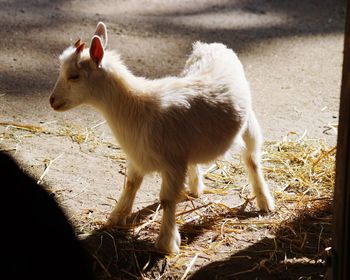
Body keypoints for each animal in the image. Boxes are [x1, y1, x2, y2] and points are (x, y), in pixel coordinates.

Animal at [50, 21, 274, 254]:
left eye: (74, 76)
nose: (52, 100)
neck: (137, 107)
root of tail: (212, 45)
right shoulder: (138, 155)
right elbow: (130, 185)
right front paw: (117, 217)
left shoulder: (172, 163)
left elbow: (166, 200)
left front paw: (166, 242)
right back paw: (196, 187)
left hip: (249, 123)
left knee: (252, 159)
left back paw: (264, 201)